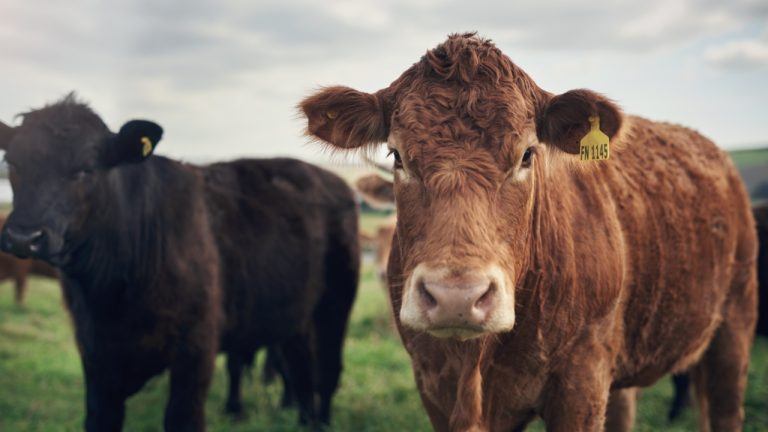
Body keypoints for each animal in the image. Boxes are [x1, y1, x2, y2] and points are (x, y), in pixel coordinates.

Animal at [0, 95, 359, 431]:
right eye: (13, 163)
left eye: (86, 168)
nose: (23, 237)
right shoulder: (95, 355)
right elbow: (100, 418)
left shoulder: (196, 349)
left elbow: (182, 418)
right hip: (294, 315)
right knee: (301, 371)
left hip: (335, 303)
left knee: (327, 371)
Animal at [300, 33, 758, 431]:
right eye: (396, 155)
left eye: (526, 154)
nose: (456, 298)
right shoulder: (434, 385)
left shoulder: (581, 384)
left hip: (734, 325)